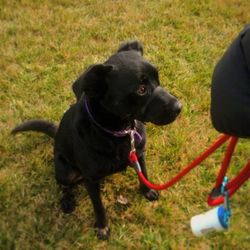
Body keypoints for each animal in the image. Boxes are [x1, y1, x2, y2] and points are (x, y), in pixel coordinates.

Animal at [11, 41, 181, 240]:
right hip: (65, 170)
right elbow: (98, 206)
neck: (118, 131)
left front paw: (147, 191)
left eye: (158, 79)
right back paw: (67, 201)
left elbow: (143, 174)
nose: (179, 107)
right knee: (64, 186)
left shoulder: (139, 154)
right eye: (141, 89)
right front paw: (102, 227)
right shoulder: (90, 180)